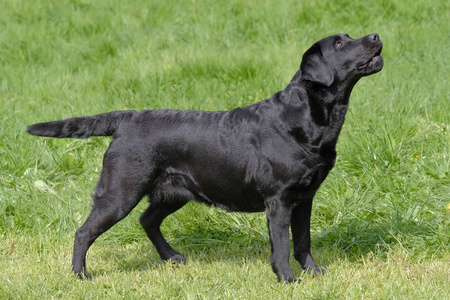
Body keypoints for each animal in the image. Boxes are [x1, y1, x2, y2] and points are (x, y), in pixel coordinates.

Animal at [26, 32, 382, 282]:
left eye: (350, 36)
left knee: (147, 220)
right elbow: (282, 245)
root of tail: (127, 118)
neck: (305, 116)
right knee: (84, 232)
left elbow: (303, 241)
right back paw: (80, 275)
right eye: (340, 43)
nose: (376, 36)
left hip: (174, 192)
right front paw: (287, 279)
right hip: (119, 193)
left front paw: (314, 273)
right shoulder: (279, 200)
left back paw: (172, 257)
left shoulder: (304, 198)